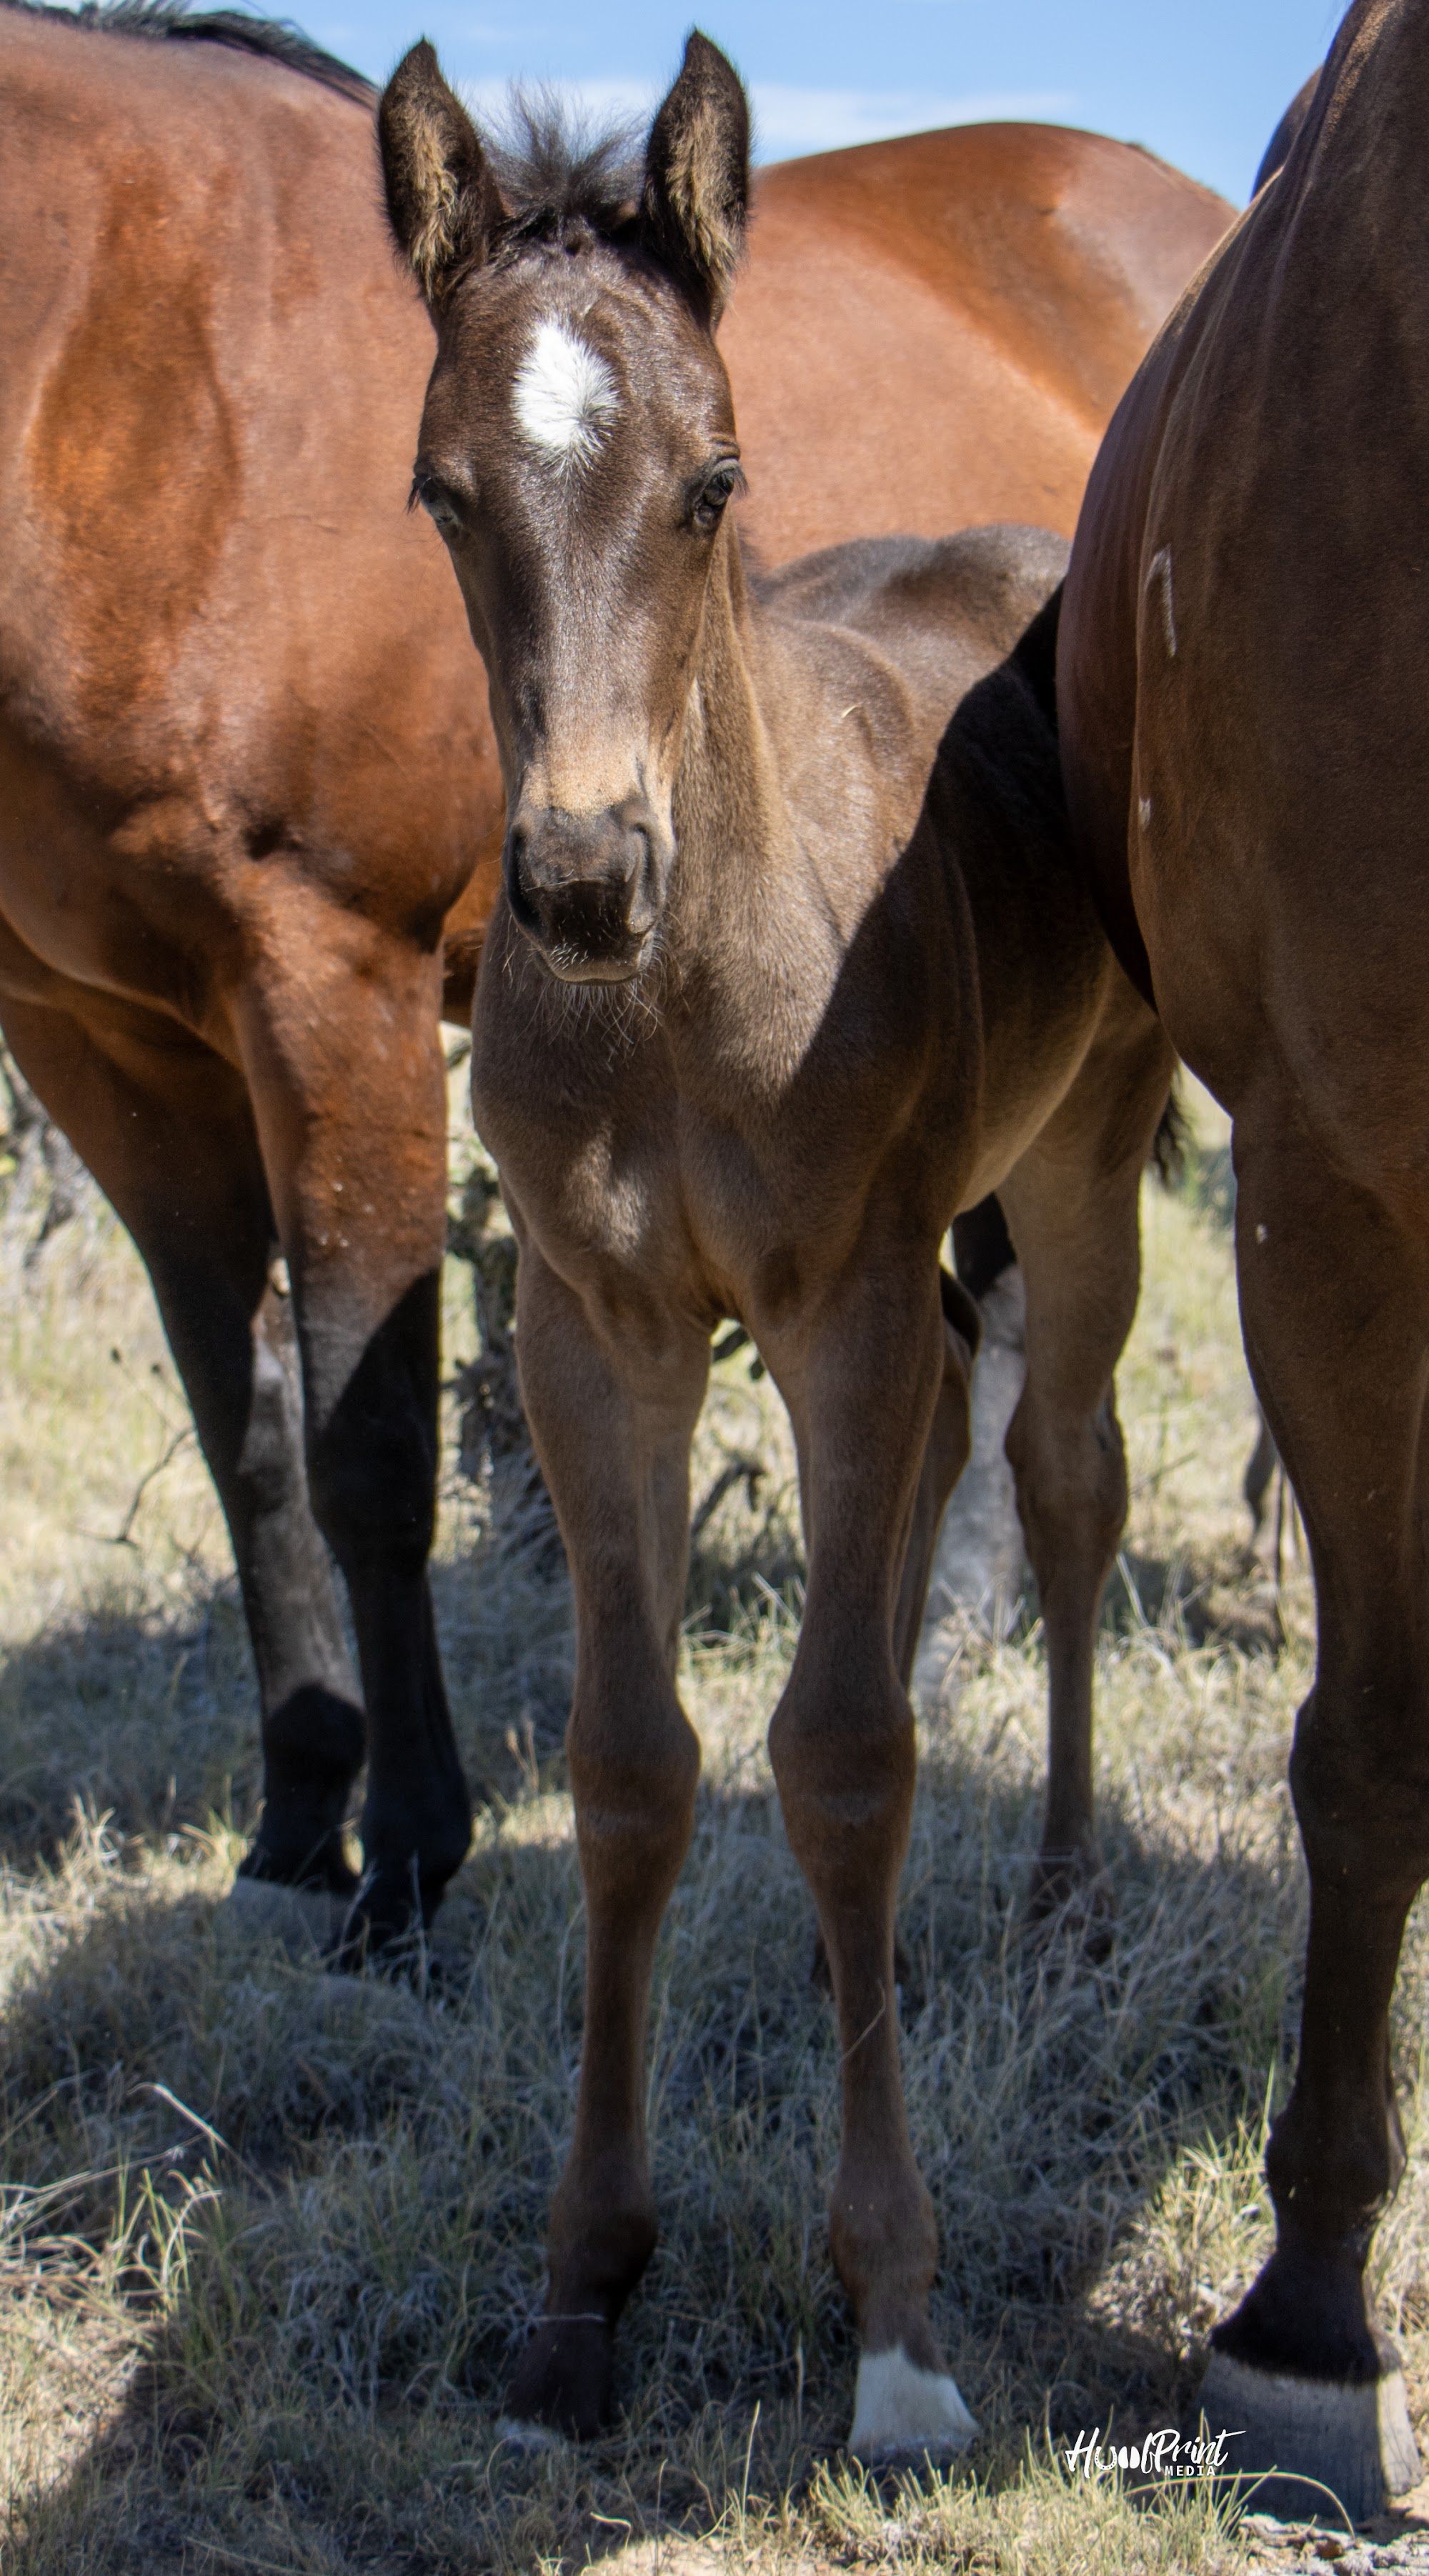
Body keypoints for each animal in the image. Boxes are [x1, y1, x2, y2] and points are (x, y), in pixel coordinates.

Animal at [0, 0, 1229, 1953]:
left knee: (1042, 1393)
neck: (108, 359)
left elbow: (366, 1444)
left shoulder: (323, 975)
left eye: (716, 484)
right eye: (431, 494)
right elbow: (244, 1424)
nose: (580, 881)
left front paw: (409, 1862)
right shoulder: (91, 1037)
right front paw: (296, 1822)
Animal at [377, 30, 1177, 2453]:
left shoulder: (834, 1308)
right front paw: (582, 2286)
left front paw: (899, 2327)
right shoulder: (596, 1330)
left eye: (715, 480)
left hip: (1079, 1159)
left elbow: (839, 1760)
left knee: (1062, 1479)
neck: (689, 983)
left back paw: (1064, 1897)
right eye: (444, 495)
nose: (574, 882)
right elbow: (637, 1767)